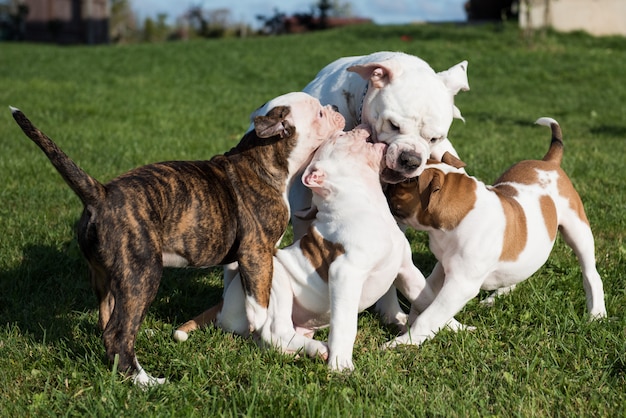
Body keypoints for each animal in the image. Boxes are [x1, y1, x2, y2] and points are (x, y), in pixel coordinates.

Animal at [9, 93, 344, 386]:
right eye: (319, 113)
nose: (336, 107)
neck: (262, 159)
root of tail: (100, 194)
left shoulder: (242, 258)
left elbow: (237, 292)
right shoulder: (257, 253)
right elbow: (260, 304)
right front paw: (268, 335)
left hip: (104, 276)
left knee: (108, 318)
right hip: (142, 273)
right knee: (117, 332)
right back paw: (144, 381)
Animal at [173, 125, 432, 370]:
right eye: (339, 137)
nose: (359, 126)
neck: (368, 202)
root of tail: (222, 302)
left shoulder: (406, 269)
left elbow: (426, 296)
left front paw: (439, 323)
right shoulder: (345, 273)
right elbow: (345, 324)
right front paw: (340, 364)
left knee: (267, 340)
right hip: (274, 281)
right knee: (275, 331)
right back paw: (319, 348)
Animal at [386, 117, 604, 350]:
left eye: (405, 182)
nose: (386, 184)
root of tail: (549, 162)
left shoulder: (460, 285)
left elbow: (430, 315)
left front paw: (403, 342)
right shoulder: (442, 268)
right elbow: (424, 298)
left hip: (578, 231)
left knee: (591, 274)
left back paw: (597, 314)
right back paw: (496, 296)